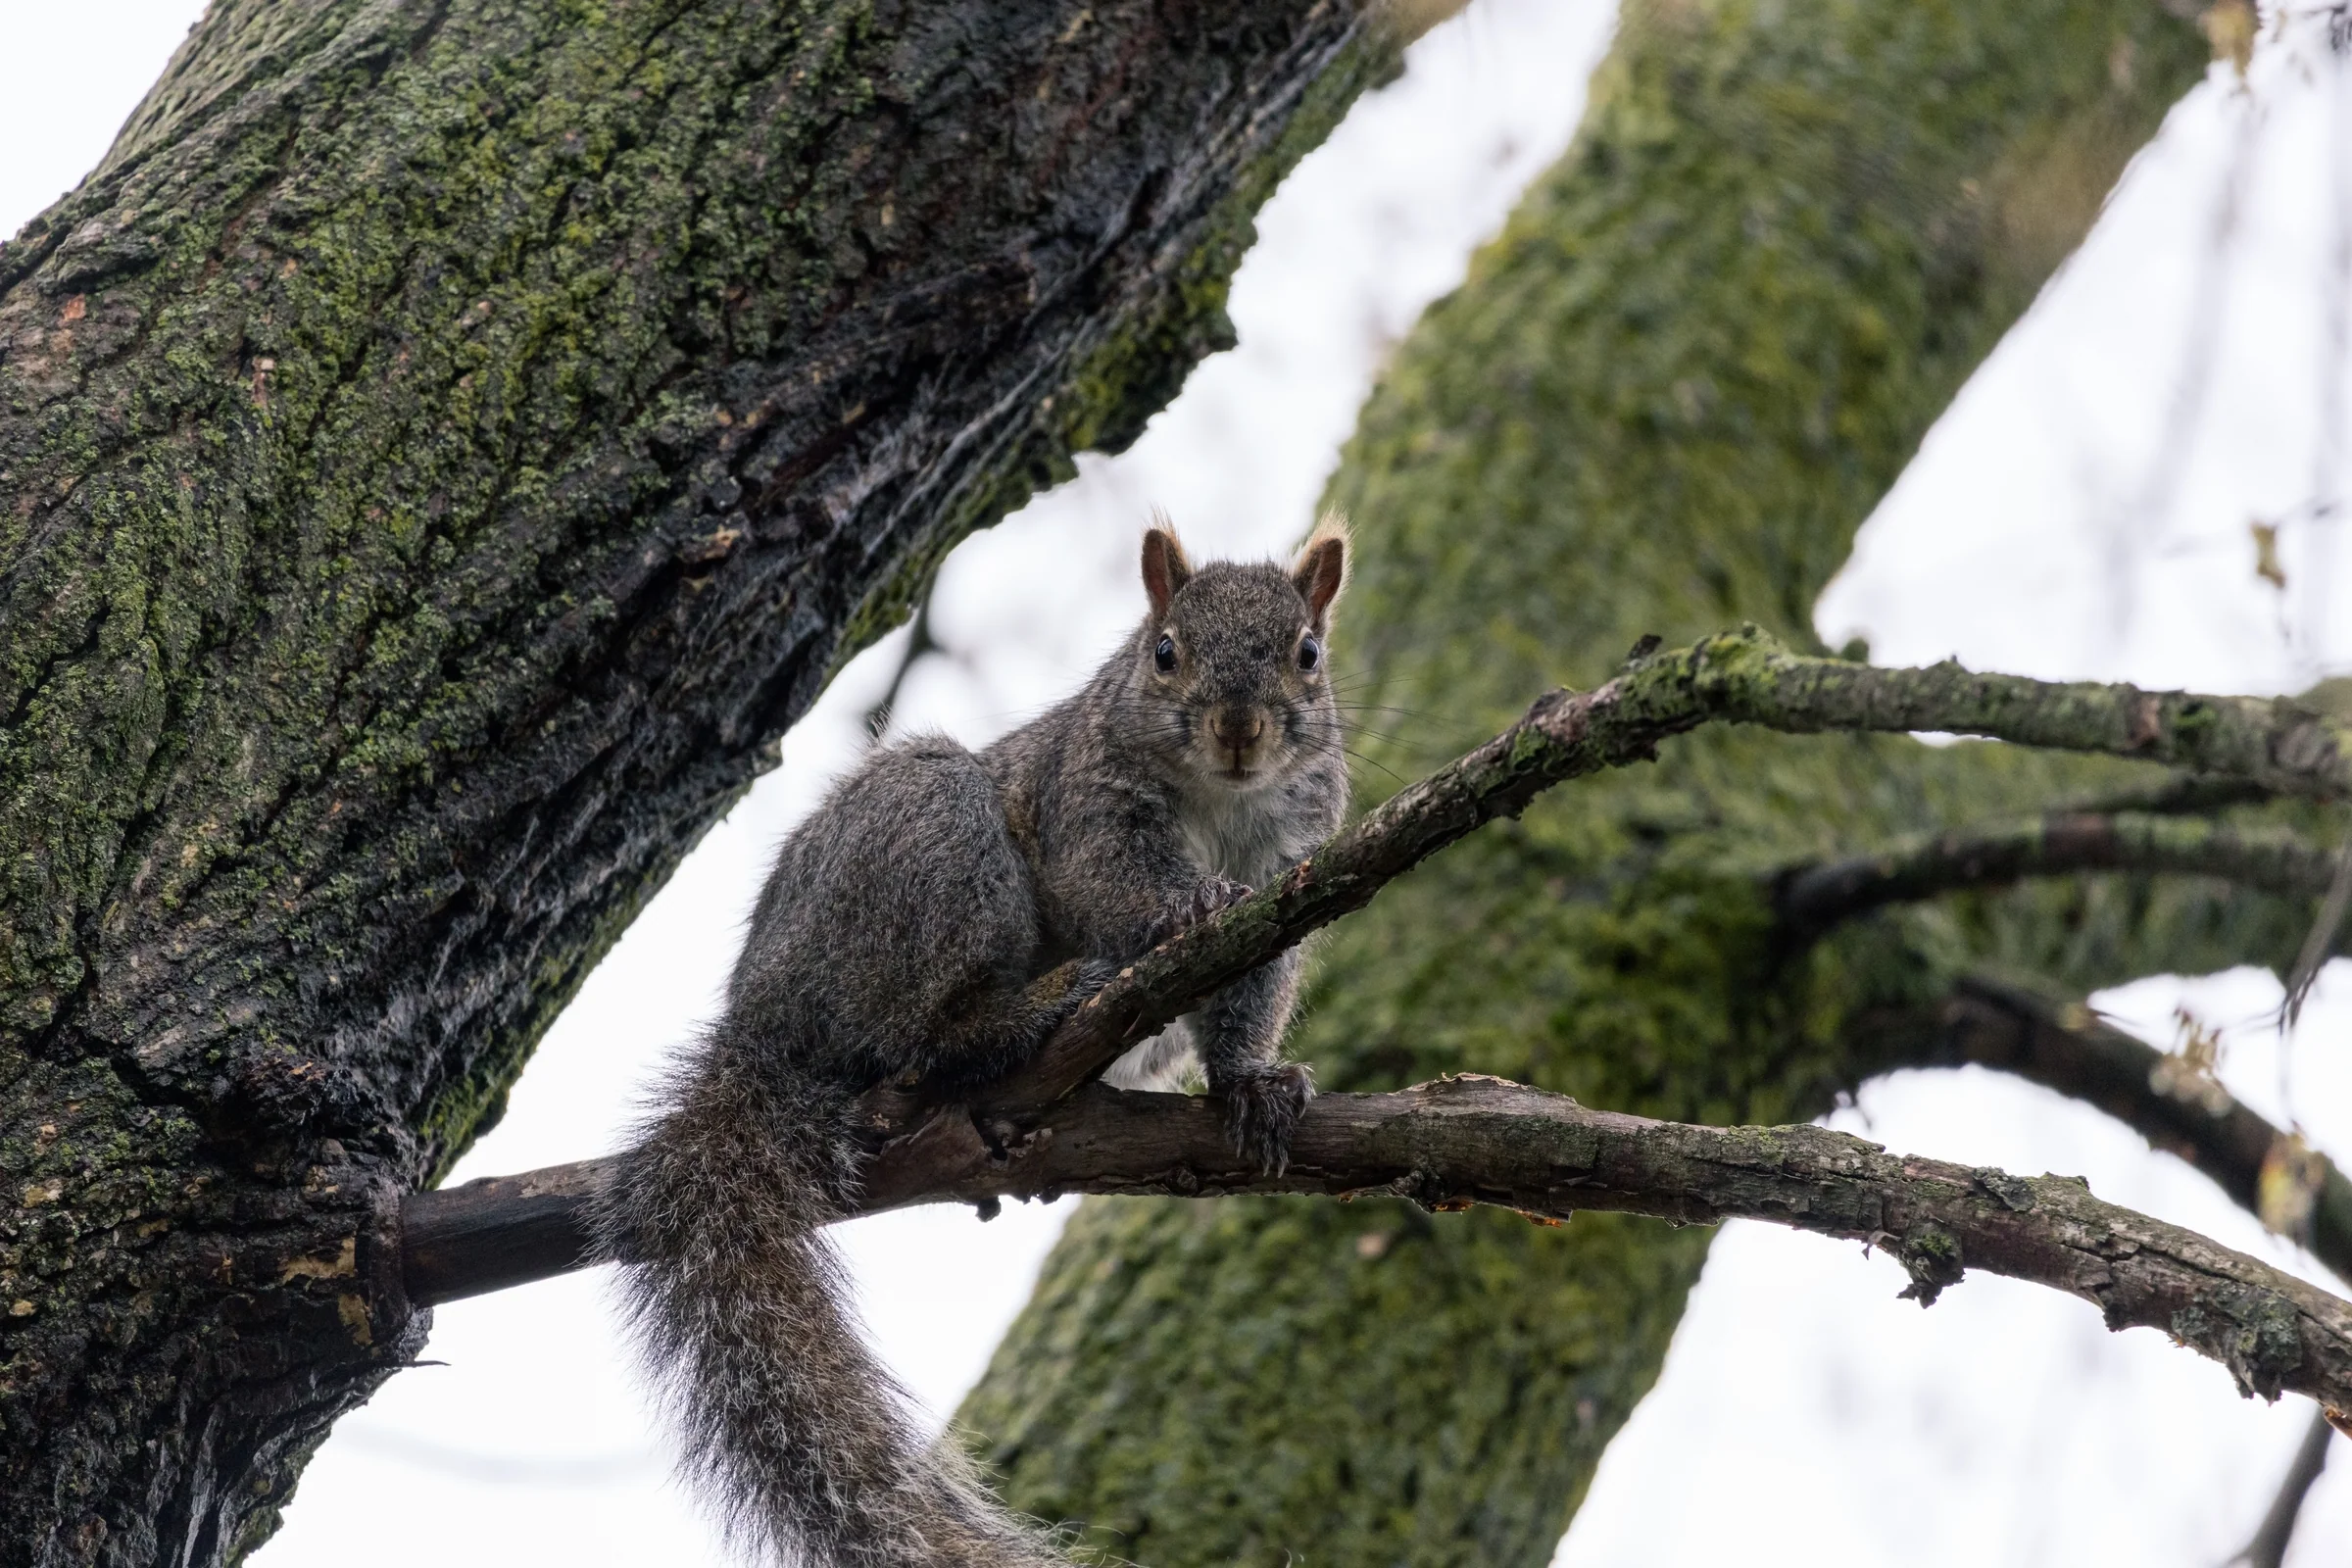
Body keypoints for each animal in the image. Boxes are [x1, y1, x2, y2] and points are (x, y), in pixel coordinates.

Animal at [593, 513, 1352, 1566]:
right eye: (1165, 653)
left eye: (1307, 655)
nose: (1240, 730)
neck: (1223, 799)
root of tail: (758, 1028)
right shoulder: (1087, 805)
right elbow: (1110, 888)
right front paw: (1188, 906)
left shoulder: (1293, 867)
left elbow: (1254, 990)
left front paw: (1251, 1083)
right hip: (933, 842)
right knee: (925, 1038)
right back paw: (1028, 1012)